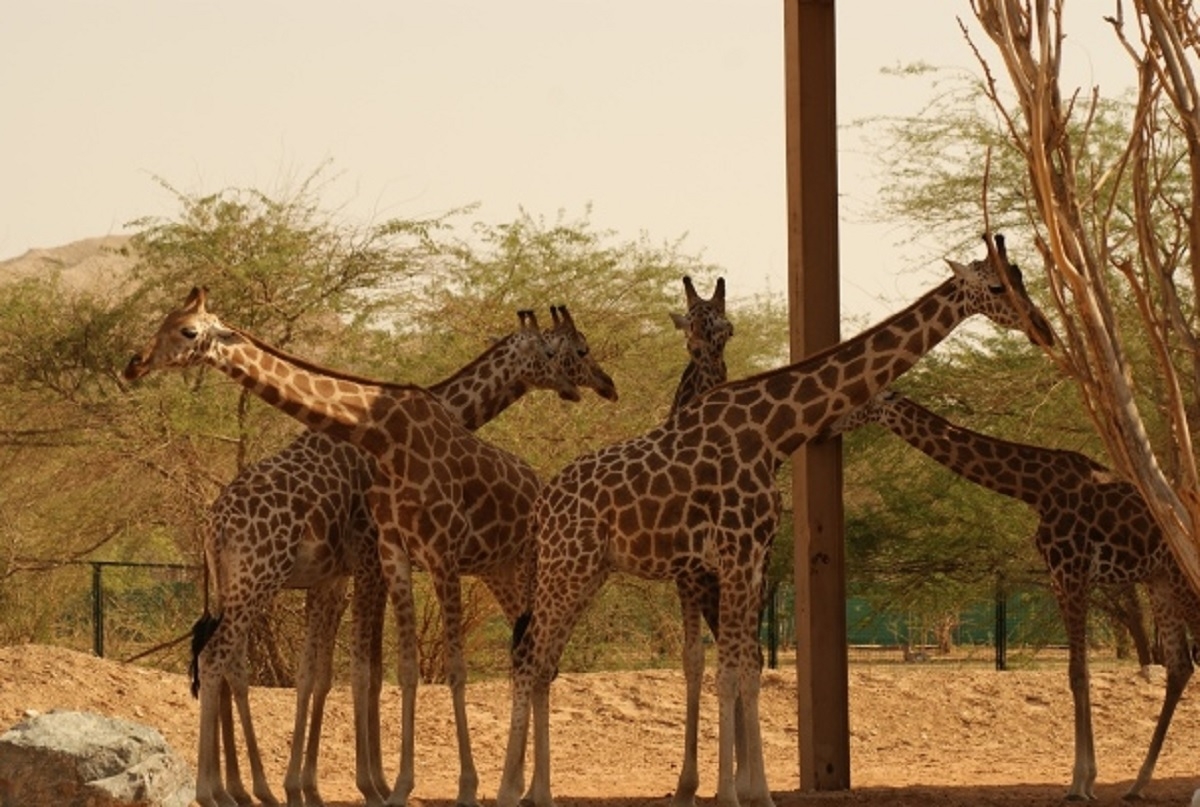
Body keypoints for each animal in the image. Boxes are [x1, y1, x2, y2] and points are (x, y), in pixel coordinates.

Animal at [122, 292, 601, 807]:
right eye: (573, 348)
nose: (598, 383)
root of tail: (212, 524)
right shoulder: (370, 560)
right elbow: (363, 672)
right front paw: (370, 783)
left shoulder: (337, 575)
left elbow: (321, 673)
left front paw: (310, 786)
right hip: (258, 578)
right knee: (222, 658)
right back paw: (226, 790)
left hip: (235, 585)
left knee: (225, 660)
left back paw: (239, 788)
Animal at [497, 235, 1055, 807]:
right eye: (996, 287)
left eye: (1022, 278)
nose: (1044, 329)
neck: (774, 431)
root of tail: (544, 505)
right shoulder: (734, 550)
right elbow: (727, 672)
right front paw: (729, 794)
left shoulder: (754, 553)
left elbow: (748, 669)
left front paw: (756, 793)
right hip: (568, 567)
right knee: (529, 658)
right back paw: (513, 790)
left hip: (588, 571)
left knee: (541, 661)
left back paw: (536, 792)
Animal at [819, 388, 1200, 801]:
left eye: (855, 399)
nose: (825, 427)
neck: (1033, 489)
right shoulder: (1061, 576)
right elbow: (1079, 672)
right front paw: (1087, 779)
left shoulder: (1072, 570)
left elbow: (1078, 673)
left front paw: (1079, 783)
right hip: (1162, 582)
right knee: (1180, 666)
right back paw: (1138, 783)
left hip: (1180, 579)